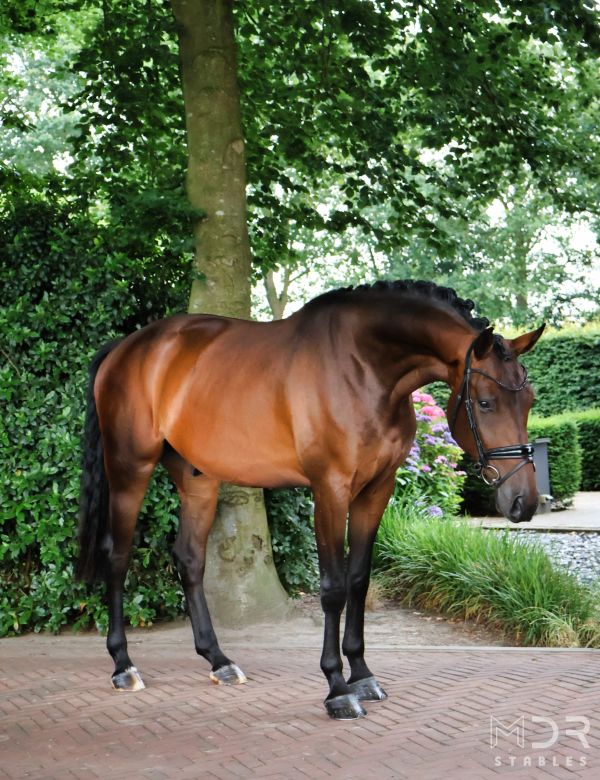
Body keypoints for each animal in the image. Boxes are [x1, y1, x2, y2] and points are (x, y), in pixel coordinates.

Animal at [77, 279, 544, 720]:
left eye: (529, 400)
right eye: (485, 402)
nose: (523, 501)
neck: (362, 368)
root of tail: (126, 348)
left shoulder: (376, 490)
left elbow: (359, 580)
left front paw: (362, 675)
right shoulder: (330, 490)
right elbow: (333, 588)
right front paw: (337, 689)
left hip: (197, 479)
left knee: (189, 559)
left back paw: (219, 660)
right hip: (130, 469)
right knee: (117, 556)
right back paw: (123, 665)